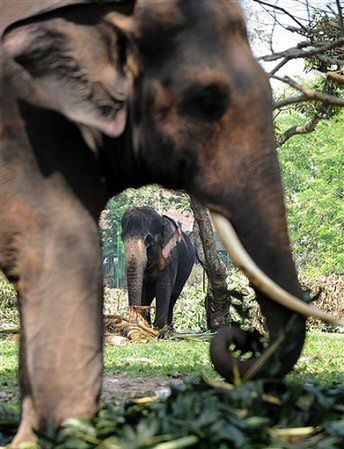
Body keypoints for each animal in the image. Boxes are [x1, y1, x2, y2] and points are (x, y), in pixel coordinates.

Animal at [0, 0, 334, 442]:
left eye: (151, 240)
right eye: (207, 100)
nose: (245, 339)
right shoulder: (26, 131)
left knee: (171, 292)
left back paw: (167, 328)